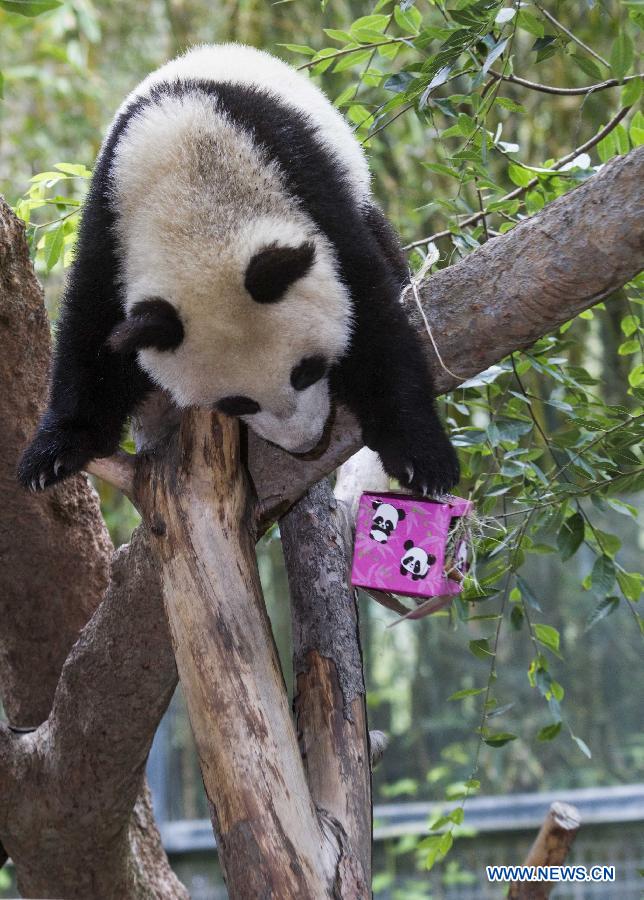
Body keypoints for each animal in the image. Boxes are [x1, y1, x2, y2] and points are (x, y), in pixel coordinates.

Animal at [18, 42, 458, 496]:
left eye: (306, 371)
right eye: (237, 402)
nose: (305, 445)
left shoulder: (308, 187)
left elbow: (372, 311)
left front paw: (420, 456)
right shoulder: (111, 223)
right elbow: (92, 332)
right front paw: (52, 456)